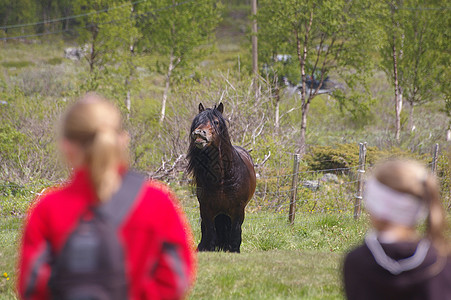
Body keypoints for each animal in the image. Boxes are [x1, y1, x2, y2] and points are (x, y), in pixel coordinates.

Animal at [188, 103, 258, 253]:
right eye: (197, 121)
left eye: (216, 122)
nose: (199, 133)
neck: (222, 179)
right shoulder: (206, 209)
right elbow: (210, 230)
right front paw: (208, 248)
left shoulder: (238, 210)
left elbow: (235, 230)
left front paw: (234, 250)